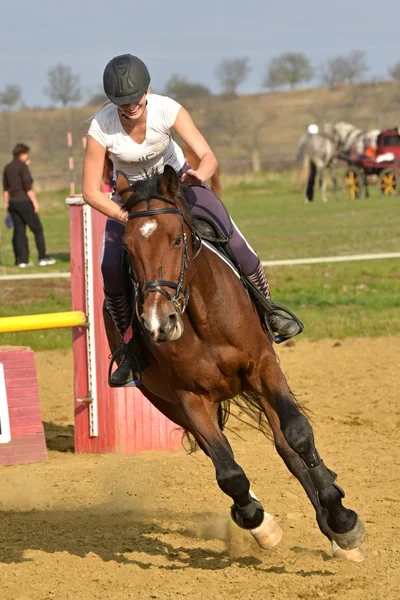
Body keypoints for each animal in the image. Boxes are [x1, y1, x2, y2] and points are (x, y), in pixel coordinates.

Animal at [102, 165, 366, 564]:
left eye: (177, 239)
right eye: (129, 249)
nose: (158, 323)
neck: (201, 317)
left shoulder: (263, 368)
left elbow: (298, 437)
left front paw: (343, 521)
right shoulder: (189, 398)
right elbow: (228, 472)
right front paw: (258, 522)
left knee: (286, 447)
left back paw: (334, 529)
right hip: (168, 404)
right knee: (222, 455)